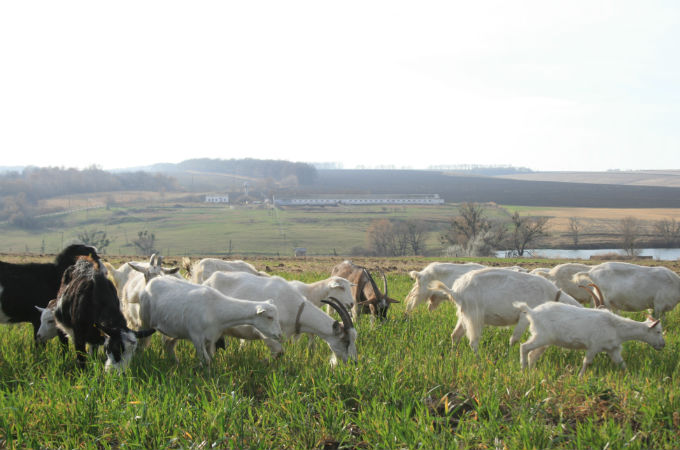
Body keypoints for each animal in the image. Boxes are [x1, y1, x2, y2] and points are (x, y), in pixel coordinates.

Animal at [138, 276, 282, 364]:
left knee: (168, 345)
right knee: (142, 343)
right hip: (144, 321)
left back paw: (176, 363)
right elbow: (205, 361)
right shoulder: (196, 337)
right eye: (269, 317)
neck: (216, 309)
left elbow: (210, 359)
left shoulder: (210, 338)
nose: (279, 335)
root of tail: (152, 281)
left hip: (173, 329)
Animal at [202, 270, 358, 366]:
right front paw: (263, 363)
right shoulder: (266, 332)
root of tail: (208, 281)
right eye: (345, 340)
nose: (354, 362)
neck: (294, 306)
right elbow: (279, 352)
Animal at [428, 268, 580, 356]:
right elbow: (515, 339)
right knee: (473, 341)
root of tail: (455, 290)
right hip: (474, 314)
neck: (551, 295)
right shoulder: (525, 316)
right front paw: (508, 355)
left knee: (455, 335)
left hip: (464, 314)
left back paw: (454, 354)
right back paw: (478, 359)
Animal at [516, 300, 664, 378]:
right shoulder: (594, 346)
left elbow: (621, 363)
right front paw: (580, 377)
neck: (616, 327)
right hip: (541, 336)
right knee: (524, 347)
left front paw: (629, 375)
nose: (663, 345)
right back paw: (523, 369)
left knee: (533, 354)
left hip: (544, 340)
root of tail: (532, 313)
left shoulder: (613, 349)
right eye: (658, 331)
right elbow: (587, 362)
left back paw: (532, 372)